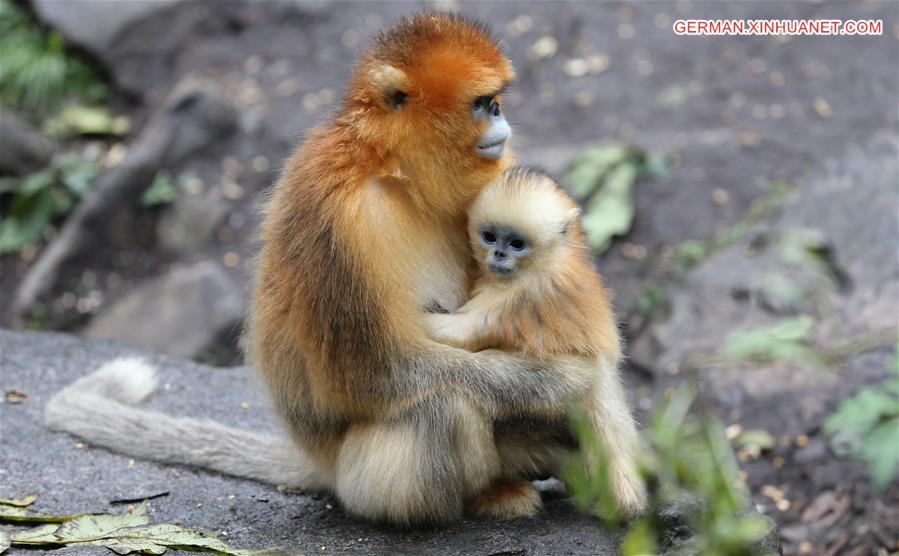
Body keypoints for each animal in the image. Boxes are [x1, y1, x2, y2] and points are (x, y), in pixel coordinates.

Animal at [45, 13, 610, 526]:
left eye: (496, 101)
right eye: (481, 103)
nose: (500, 118)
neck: (394, 171)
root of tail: (322, 466)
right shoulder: (338, 217)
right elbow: (375, 372)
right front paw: (564, 382)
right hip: (363, 482)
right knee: (441, 404)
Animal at [423, 166, 647, 518]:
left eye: (517, 244)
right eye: (490, 237)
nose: (499, 254)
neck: (544, 263)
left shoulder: (522, 298)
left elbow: (460, 332)